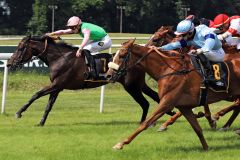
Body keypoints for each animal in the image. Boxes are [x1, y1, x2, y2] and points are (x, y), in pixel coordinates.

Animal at [7, 35, 174, 125]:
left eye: (20, 48)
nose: (9, 63)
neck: (60, 58)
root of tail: (140, 59)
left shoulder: (56, 84)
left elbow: (36, 94)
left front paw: (19, 113)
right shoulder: (57, 86)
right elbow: (49, 105)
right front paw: (41, 122)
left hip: (131, 86)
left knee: (145, 103)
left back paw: (145, 121)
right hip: (138, 84)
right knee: (155, 97)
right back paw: (169, 113)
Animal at [107, 38, 240, 150]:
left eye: (122, 55)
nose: (108, 75)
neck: (168, 70)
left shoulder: (167, 102)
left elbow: (146, 123)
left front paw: (120, 144)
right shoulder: (184, 106)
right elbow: (197, 129)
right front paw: (206, 148)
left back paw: (221, 118)